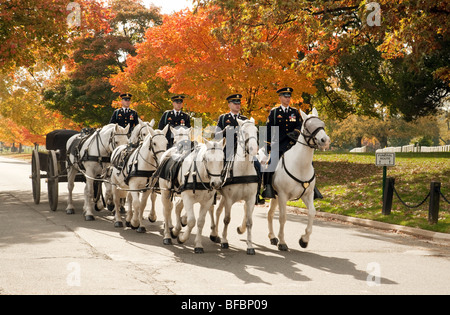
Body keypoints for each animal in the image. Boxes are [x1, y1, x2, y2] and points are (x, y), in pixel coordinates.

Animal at [212, 117, 260, 256]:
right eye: (243, 132)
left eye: (256, 131)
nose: (254, 149)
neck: (243, 170)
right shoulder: (229, 199)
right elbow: (227, 219)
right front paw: (224, 241)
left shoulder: (250, 199)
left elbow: (249, 222)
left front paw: (250, 246)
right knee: (214, 211)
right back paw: (214, 234)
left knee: (218, 211)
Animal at [264, 108, 330, 252]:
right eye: (308, 126)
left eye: (322, 123)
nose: (325, 140)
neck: (300, 165)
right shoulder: (283, 195)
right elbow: (283, 217)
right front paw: (282, 242)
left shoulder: (307, 194)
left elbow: (312, 212)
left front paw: (304, 240)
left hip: (275, 197)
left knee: (270, 213)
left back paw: (272, 237)